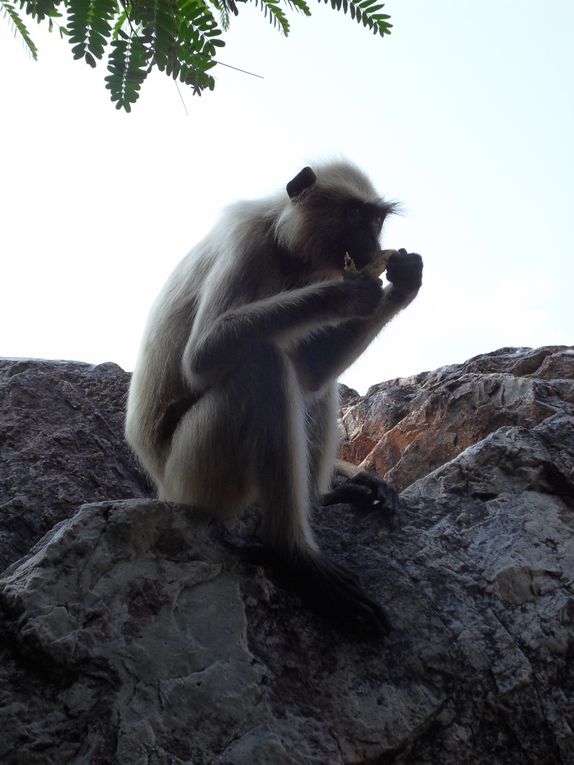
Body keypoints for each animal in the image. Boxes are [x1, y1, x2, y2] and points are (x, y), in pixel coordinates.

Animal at [126, 161, 424, 632]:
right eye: (357, 216)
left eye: (376, 221)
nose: (374, 246)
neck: (284, 247)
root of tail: (160, 485)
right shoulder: (247, 246)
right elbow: (201, 356)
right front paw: (346, 294)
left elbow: (310, 373)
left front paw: (405, 280)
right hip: (195, 479)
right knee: (262, 363)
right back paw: (296, 557)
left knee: (305, 381)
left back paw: (323, 498)